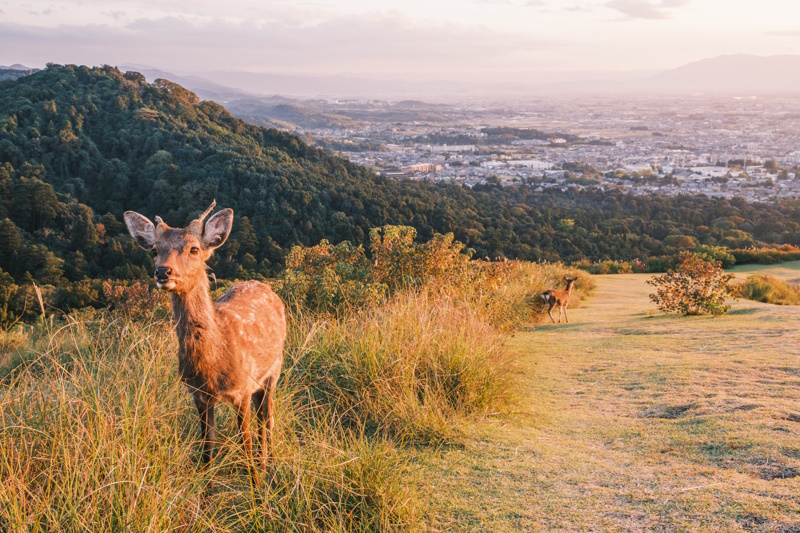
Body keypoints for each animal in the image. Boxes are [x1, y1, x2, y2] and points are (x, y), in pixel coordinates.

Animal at [123, 201, 286, 478]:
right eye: (154, 250)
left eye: (194, 248)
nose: (163, 272)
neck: (213, 363)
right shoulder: (199, 395)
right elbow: (206, 453)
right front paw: (207, 487)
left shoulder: (241, 389)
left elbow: (246, 450)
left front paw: (256, 484)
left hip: (275, 369)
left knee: (267, 418)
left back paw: (268, 464)